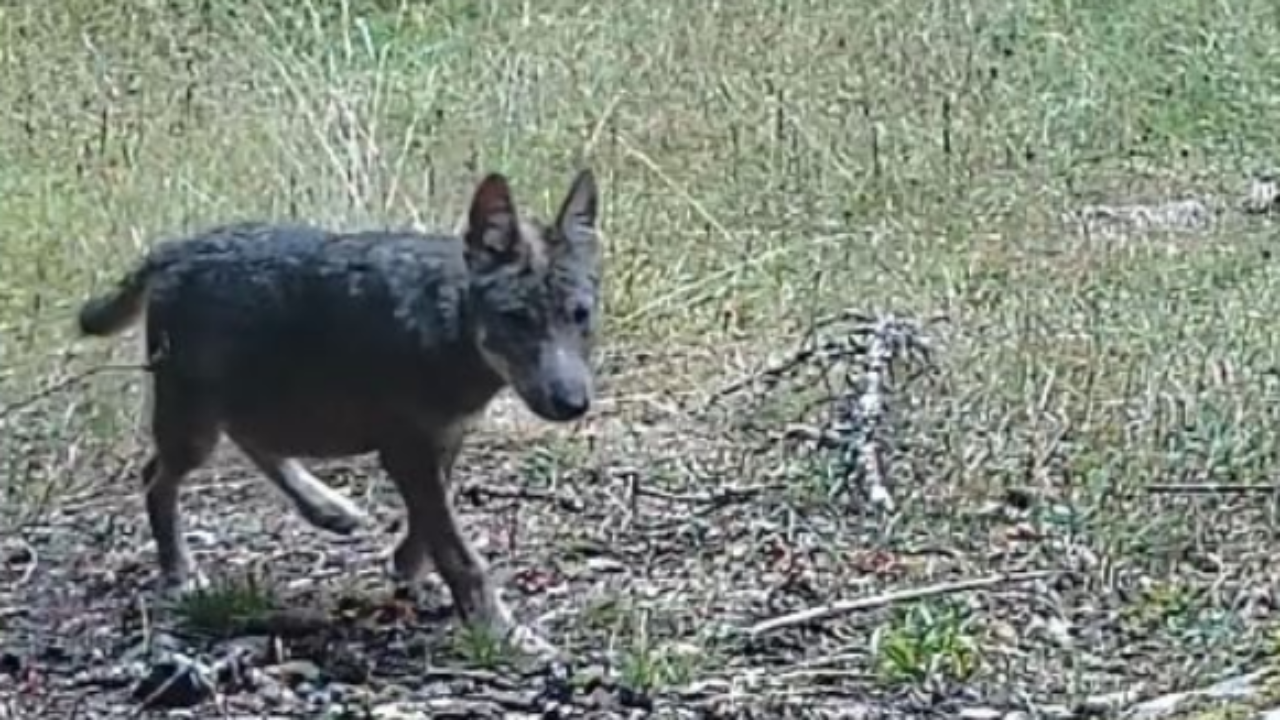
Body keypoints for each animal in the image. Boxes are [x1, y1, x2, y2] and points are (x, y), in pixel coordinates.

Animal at [76, 169, 601, 654]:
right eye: (518, 319)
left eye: (580, 316)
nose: (573, 404)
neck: (447, 327)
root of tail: (175, 247)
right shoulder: (408, 450)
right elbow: (460, 553)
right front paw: (502, 631)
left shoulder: (443, 440)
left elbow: (432, 523)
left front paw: (407, 566)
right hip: (197, 431)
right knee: (154, 478)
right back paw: (182, 573)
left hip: (260, 403)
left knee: (251, 443)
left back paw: (327, 508)